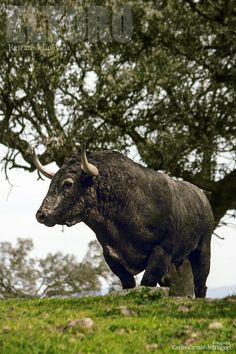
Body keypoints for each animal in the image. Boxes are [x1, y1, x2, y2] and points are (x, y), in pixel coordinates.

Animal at [34, 148, 214, 298]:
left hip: (202, 249)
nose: (41, 214)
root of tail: (203, 197)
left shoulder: (162, 251)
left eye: (68, 183)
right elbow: (128, 283)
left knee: (200, 283)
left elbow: (147, 282)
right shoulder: (110, 255)